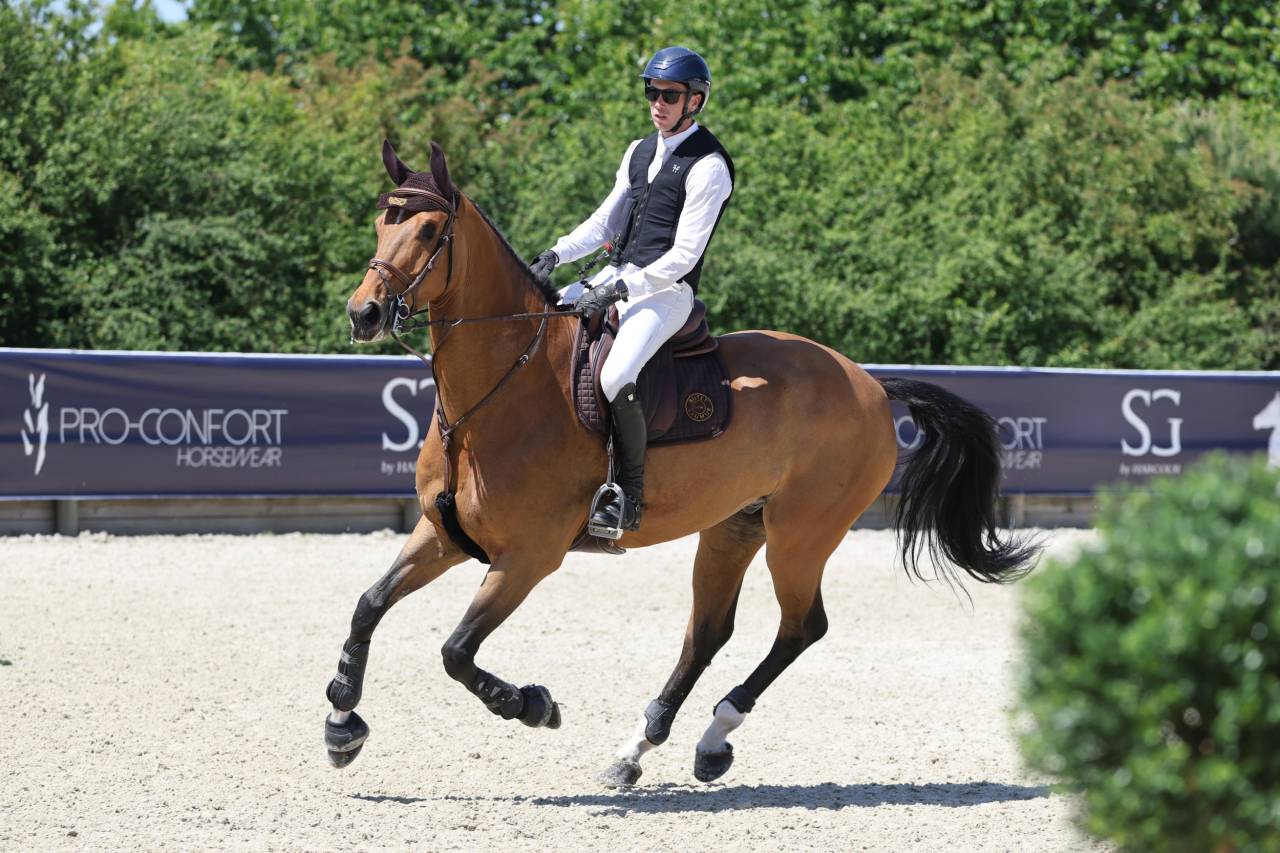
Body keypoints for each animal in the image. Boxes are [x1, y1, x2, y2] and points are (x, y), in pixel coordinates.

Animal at [323, 139, 1038, 786]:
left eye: (429, 229)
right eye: (382, 222)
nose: (364, 313)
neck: (500, 391)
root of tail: (868, 382)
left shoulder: (528, 557)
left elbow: (456, 651)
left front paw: (533, 705)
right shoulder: (442, 533)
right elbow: (368, 604)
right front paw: (341, 721)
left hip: (801, 535)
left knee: (800, 627)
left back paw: (715, 736)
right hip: (733, 529)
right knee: (708, 633)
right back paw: (637, 749)